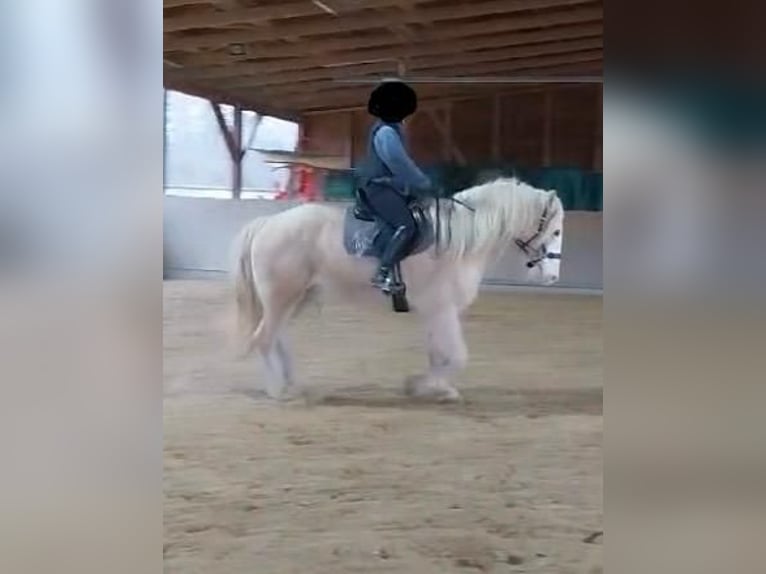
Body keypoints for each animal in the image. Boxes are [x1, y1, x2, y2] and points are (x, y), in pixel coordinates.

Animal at [228, 178, 564, 402]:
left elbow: (438, 354)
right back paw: (277, 390)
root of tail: (267, 223)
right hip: (282, 297)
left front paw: (431, 387)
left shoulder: (434, 312)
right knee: (264, 338)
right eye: (557, 230)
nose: (552, 277)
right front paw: (427, 386)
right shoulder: (442, 310)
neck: (459, 242)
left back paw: (292, 384)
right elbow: (458, 356)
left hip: (297, 297)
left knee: (277, 337)